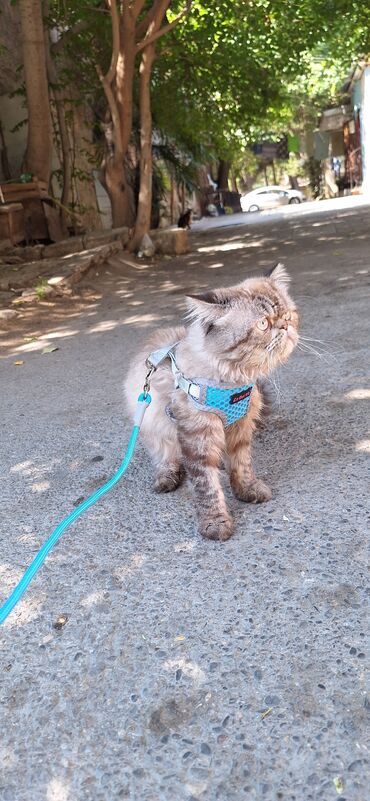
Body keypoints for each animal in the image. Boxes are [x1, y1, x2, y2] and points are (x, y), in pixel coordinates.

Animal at [124, 264, 298, 544]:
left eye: (288, 315)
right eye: (263, 324)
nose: (285, 326)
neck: (232, 381)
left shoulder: (241, 427)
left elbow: (242, 466)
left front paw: (247, 490)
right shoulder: (198, 437)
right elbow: (207, 486)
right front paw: (216, 523)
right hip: (154, 425)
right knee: (166, 457)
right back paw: (166, 478)